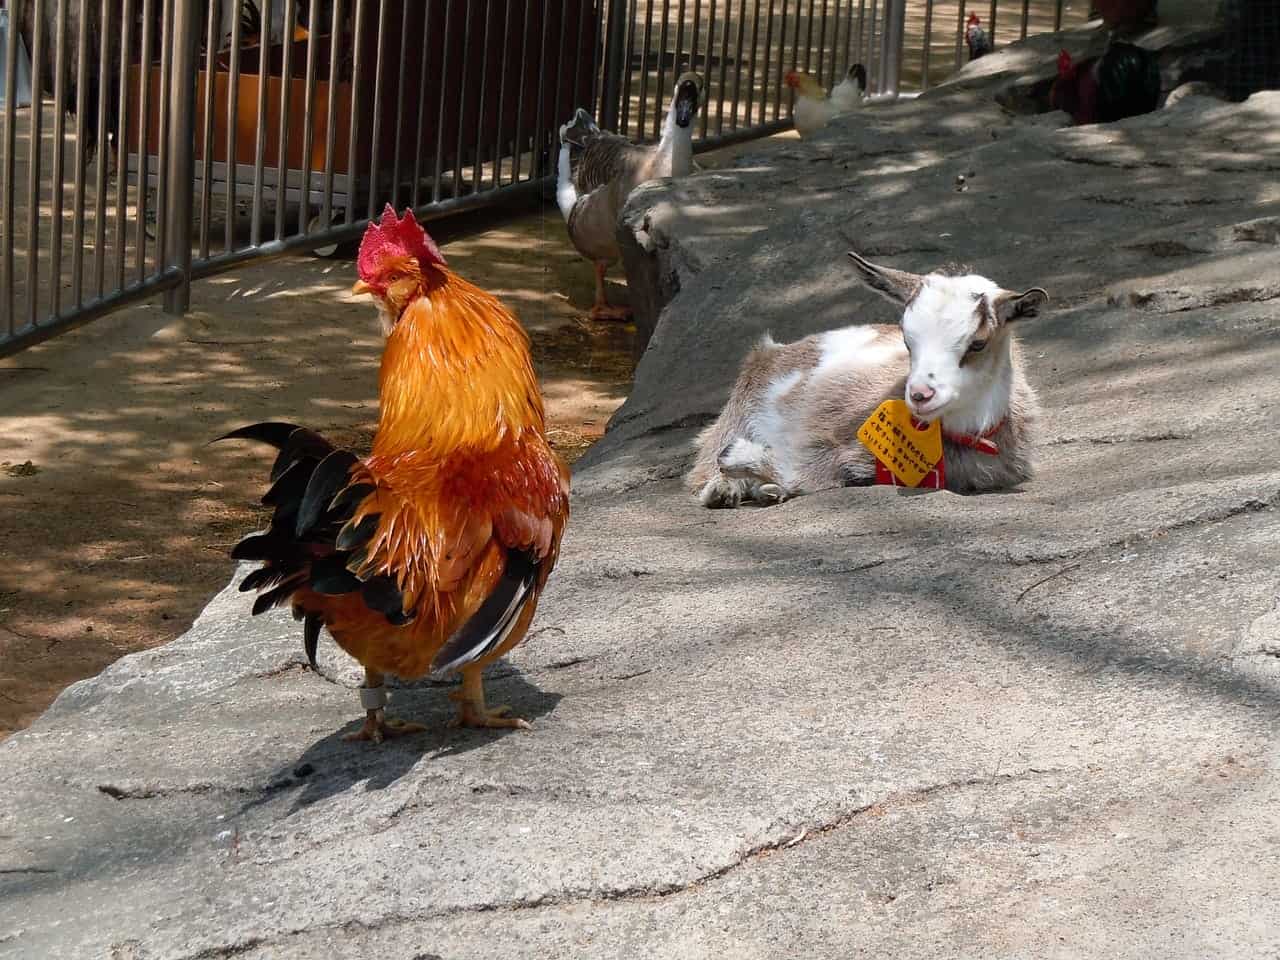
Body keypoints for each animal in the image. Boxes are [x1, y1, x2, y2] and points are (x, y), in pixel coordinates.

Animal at [688, 252, 1048, 507]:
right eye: (907, 339)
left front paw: (755, 469)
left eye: (978, 343)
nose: (920, 394)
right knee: (702, 464)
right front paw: (739, 459)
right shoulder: (823, 433)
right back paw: (723, 489)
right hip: (743, 405)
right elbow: (807, 466)